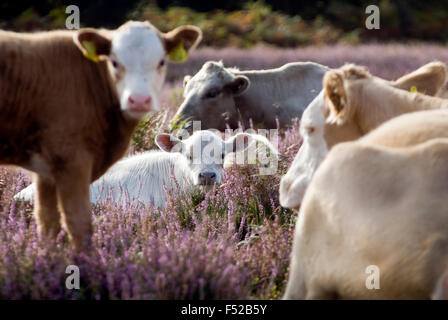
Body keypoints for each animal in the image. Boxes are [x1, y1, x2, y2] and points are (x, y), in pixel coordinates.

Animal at [0, 20, 201, 250]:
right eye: (114, 62)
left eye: (161, 62)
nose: (139, 99)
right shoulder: (71, 160)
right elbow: (78, 224)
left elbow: (49, 223)